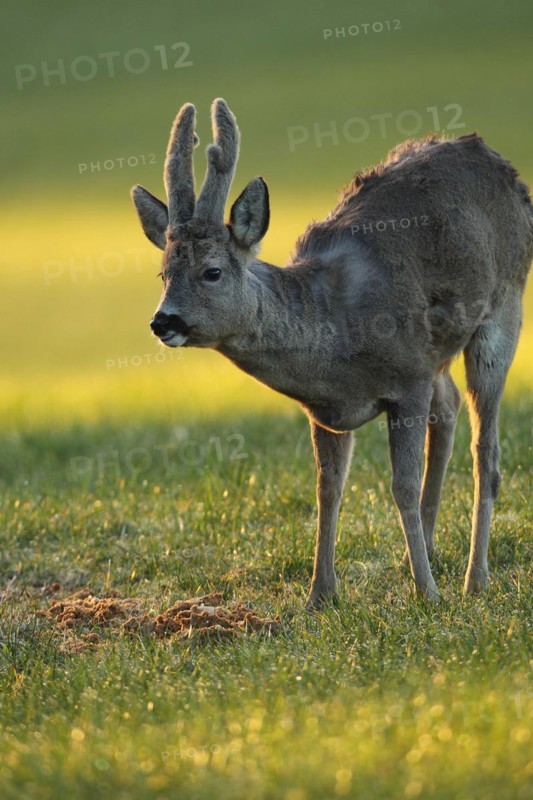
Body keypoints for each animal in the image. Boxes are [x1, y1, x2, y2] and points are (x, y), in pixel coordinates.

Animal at [131, 98, 532, 609]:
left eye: (212, 271)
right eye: (163, 274)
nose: (163, 321)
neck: (334, 341)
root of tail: (501, 164)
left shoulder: (408, 377)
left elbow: (401, 485)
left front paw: (427, 594)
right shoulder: (327, 408)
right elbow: (327, 489)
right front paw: (320, 595)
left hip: (504, 307)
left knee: (487, 450)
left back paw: (473, 578)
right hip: (438, 350)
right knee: (450, 406)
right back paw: (421, 553)